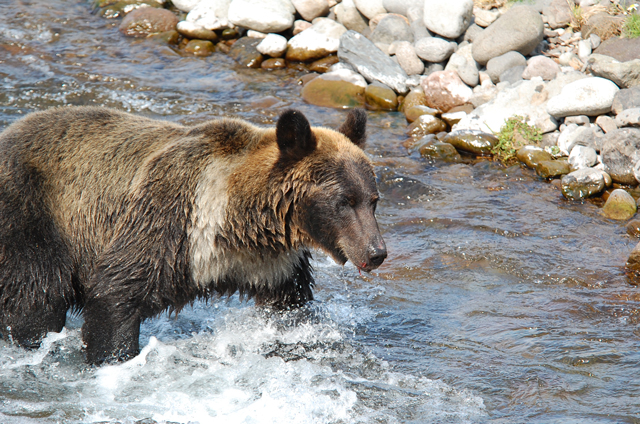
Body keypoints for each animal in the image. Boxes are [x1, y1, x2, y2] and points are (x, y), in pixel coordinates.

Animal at [0, 106, 384, 364]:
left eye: (373, 200)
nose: (376, 252)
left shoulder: (273, 266)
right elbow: (115, 293)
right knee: (37, 297)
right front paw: (113, 357)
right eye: (344, 201)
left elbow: (288, 309)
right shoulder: (171, 224)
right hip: (31, 216)